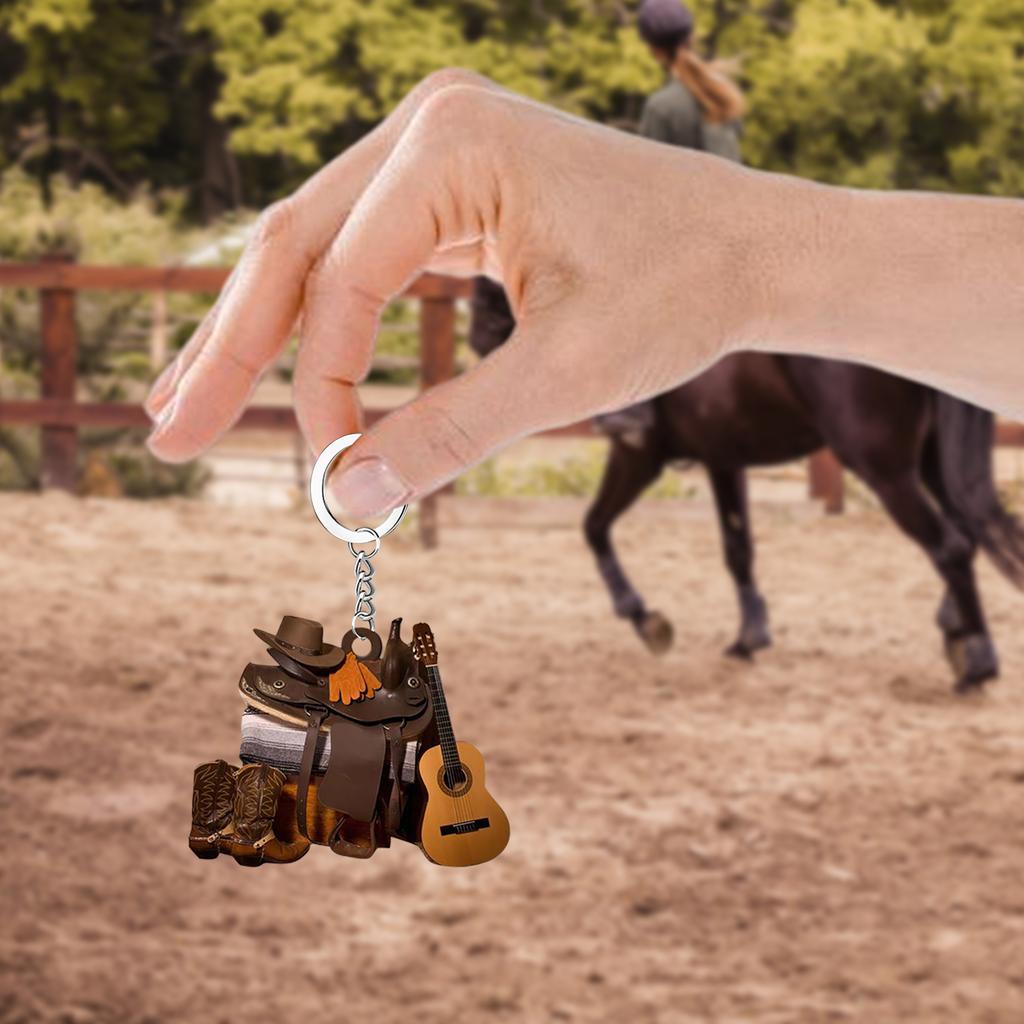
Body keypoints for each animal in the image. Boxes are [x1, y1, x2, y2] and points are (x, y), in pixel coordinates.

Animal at [469, 279, 1024, 692]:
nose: (475, 338)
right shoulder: (723, 459)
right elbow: (737, 549)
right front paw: (750, 636)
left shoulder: (638, 453)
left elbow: (593, 526)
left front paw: (644, 618)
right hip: (930, 463)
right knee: (968, 533)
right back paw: (958, 632)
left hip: (884, 468)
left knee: (950, 547)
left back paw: (978, 661)